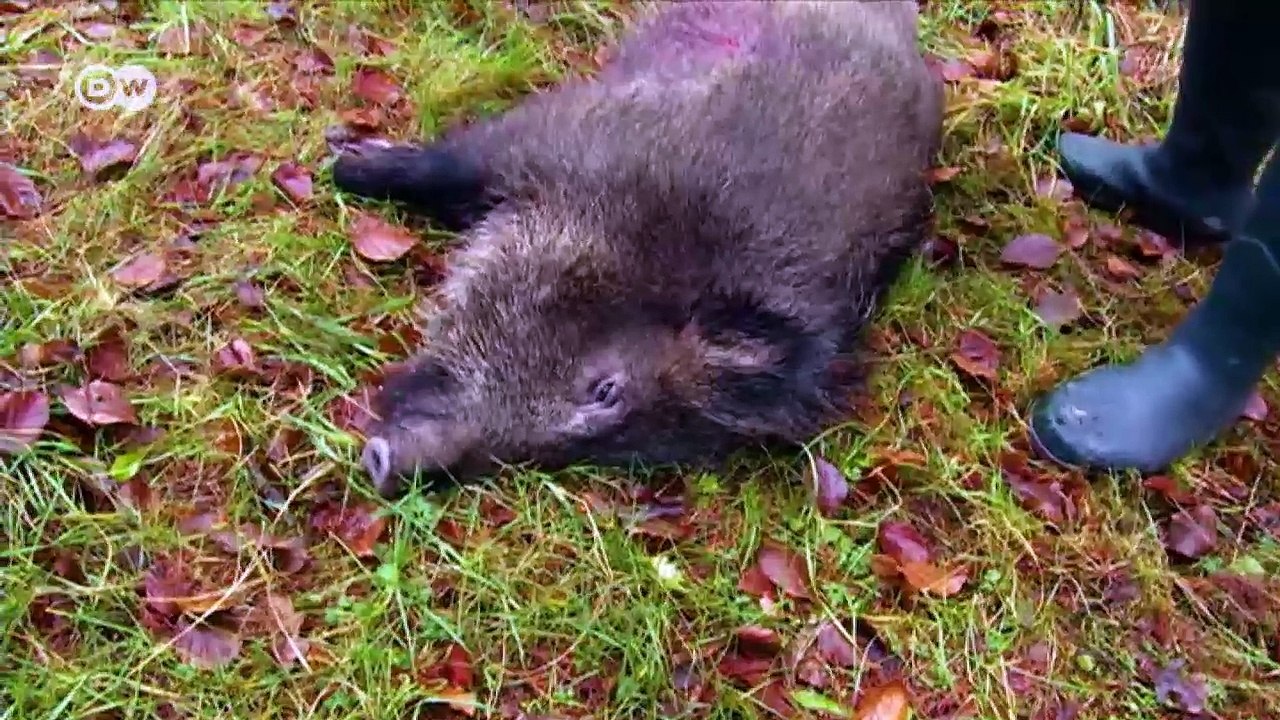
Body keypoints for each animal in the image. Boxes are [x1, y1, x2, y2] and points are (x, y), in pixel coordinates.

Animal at [333, 0, 945, 496]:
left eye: (594, 448)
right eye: (605, 388)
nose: (386, 465)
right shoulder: (559, 132)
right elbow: (435, 165)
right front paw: (341, 159)